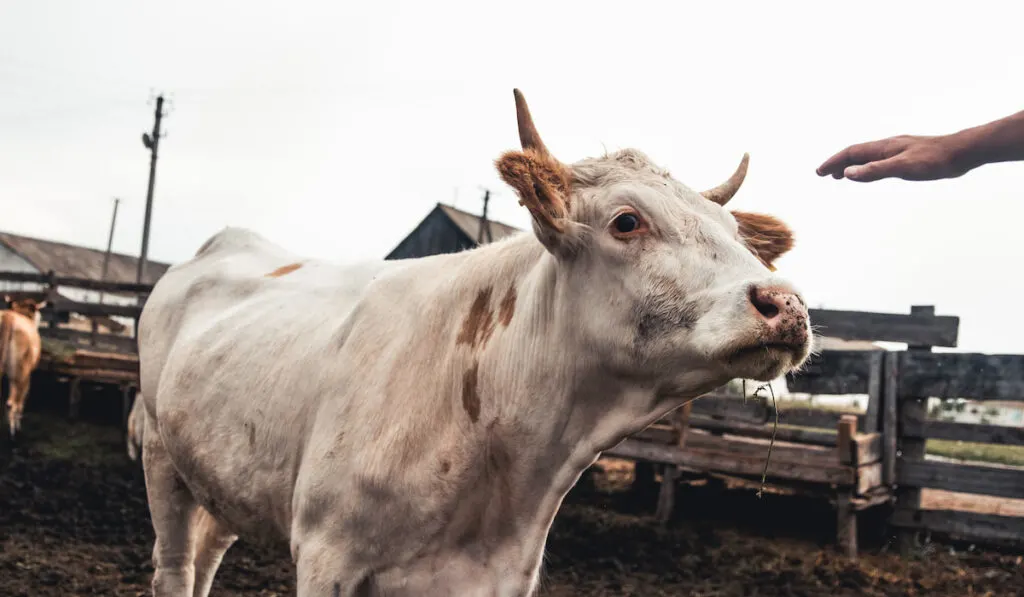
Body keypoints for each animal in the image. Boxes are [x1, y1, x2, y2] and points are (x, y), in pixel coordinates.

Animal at [138, 90, 806, 597]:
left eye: (734, 234)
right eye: (626, 221)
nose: (788, 305)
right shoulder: (327, 558)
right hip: (161, 459)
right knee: (175, 570)